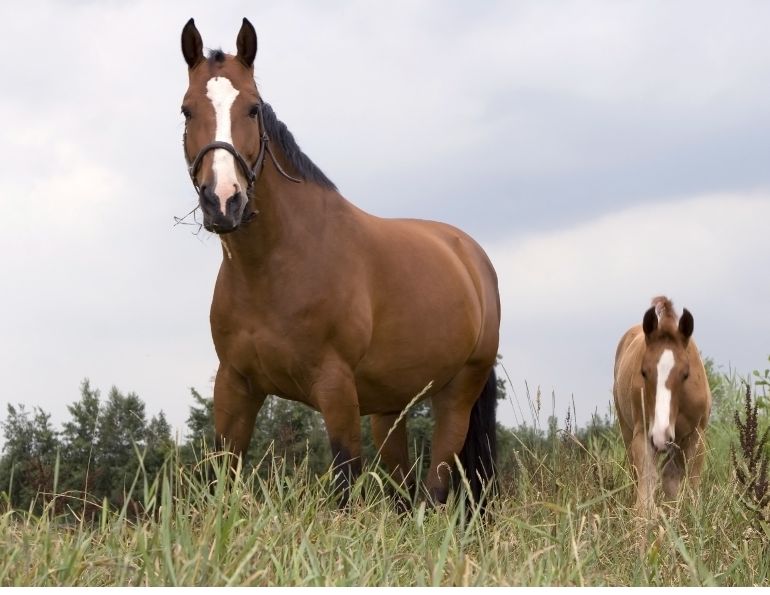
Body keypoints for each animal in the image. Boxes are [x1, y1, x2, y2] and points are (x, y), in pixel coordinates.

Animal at [178, 18, 501, 508]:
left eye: (253, 109)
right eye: (186, 111)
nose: (223, 201)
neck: (275, 267)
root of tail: (470, 255)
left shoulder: (336, 391)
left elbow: (346, 487)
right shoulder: (234, 386)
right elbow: (223, 481)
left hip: (457, 394)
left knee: (434, 491)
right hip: (390, 410)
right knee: (404, 493)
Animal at [613, 296, 711, 516]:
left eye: (685, 373)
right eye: (643, 372)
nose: (661, 435)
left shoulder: (696, 436)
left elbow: (691, 487)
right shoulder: (643, 434)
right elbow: (645, 495)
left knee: (670, 476)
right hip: (627, 431)